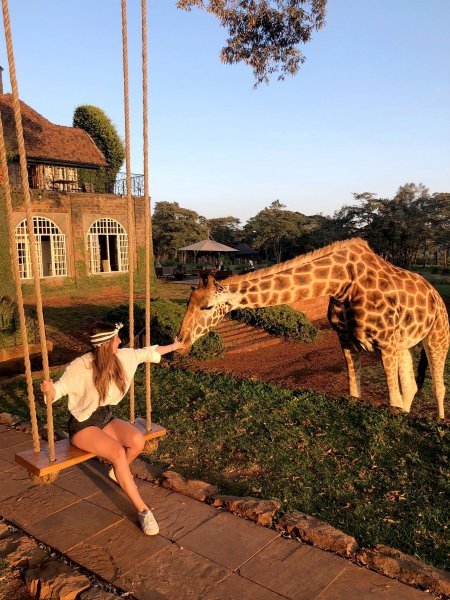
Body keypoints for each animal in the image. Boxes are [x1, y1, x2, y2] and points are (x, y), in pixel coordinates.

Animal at [178, 238, 448, 418]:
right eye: (188, 302)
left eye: (207, 307)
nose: (180, 341)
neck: (343, 283)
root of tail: (435, 293)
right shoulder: (347, 341)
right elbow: (356, 393)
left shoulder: (385, 344)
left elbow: (393, 400)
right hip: (403, 344)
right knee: (411, 387)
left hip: (437, 337)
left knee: (438, 387)